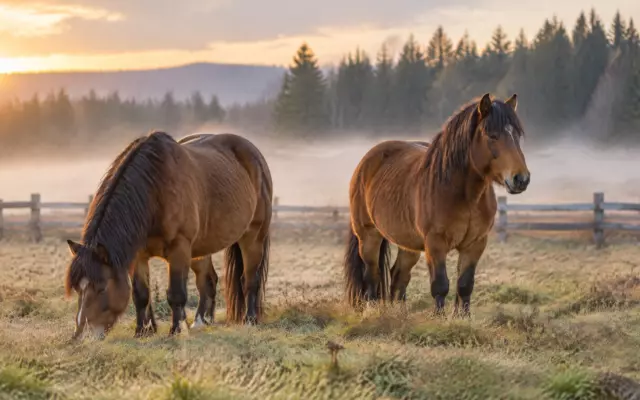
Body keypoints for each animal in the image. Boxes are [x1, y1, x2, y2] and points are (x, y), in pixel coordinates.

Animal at [65, 131, 273, 339]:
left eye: (101, 288)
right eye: (77, 289)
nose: (80, 336)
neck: (155, 191)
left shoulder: (179, 248)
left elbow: (176, 294)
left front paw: (177, 330)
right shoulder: (139, 255)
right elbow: (141, 294)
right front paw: (142, 331)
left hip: (253, 237)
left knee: (249, 280)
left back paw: (249, 320)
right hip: (200, 248)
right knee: (208, 280)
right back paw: (201, 322)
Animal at [343, 93, 530, 317]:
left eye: (517, 136)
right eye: (492, 135)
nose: (521, 179)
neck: (465, 195)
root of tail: (365, 163)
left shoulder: (475, 244)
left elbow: (465, 285)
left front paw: (462, 318)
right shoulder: (435, 244)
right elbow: (440, 285)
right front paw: (439, 319)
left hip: (408, 243)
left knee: (398, 276)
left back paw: (400, 315)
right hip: (369, 236)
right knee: (372, 275)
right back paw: (373, 311)